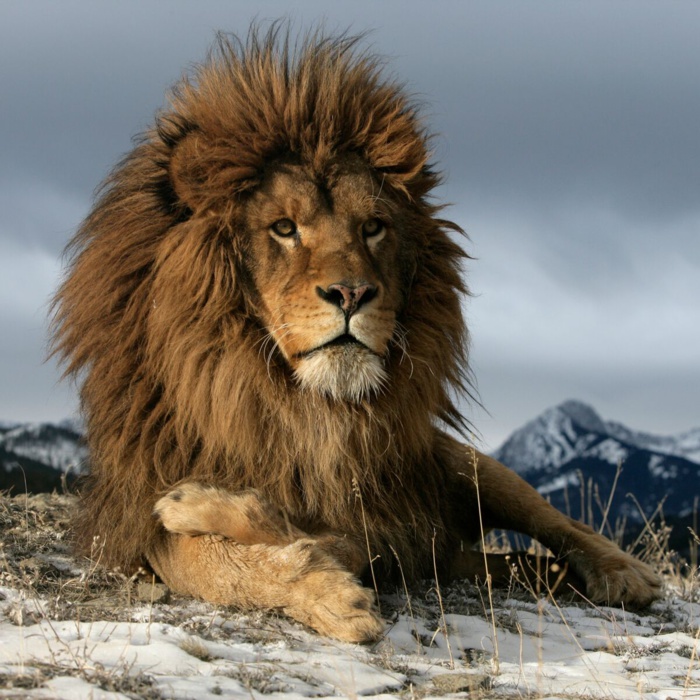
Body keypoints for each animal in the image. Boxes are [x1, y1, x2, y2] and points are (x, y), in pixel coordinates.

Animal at [51, 27, 661, 643]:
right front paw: (321, 589)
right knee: (507, 562)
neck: (300, 408)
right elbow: (213, 561)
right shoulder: (138, 519)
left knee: (561, 524)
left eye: (372, 227)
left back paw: (624, 574)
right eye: (284, 228)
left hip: (469, 467)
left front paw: (213, 513)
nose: (351, 293)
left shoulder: (383, 522)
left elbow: (306, 533)